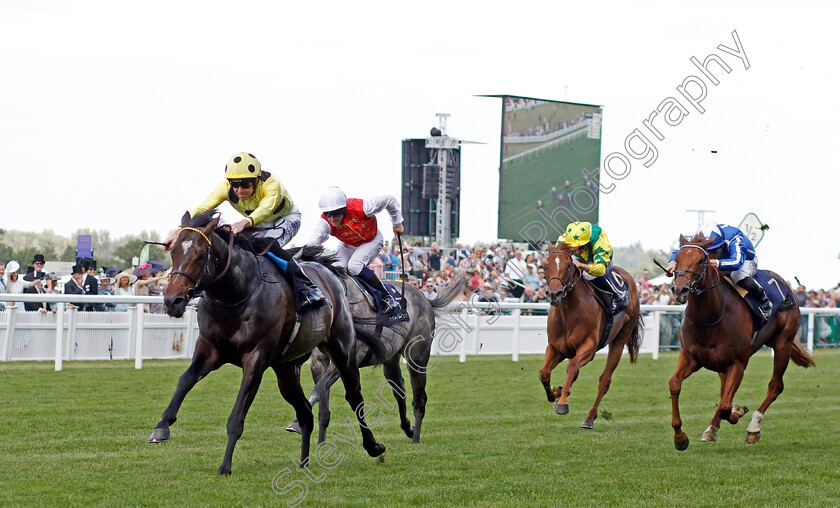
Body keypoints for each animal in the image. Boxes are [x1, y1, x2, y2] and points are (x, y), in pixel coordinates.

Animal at [148, 211, 388, 476]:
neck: (234, 294)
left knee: (354, 396)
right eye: (173, 252)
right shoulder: (209, 349)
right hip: (286, 369)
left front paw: (225, 466)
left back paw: (374, 447)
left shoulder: (256, 359)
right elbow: (185, 380)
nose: (172, 300)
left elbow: (236, 417)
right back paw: (304, 463)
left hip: (341, 348)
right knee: (305, 412)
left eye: (201, 254)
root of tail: (331, 274)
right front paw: (161, 427)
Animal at [288, 272, 470, 442]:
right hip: (391, 360)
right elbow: (323, 407)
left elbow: (318, 390)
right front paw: (320, 443)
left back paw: (416, 438)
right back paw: (408, 428)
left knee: (419, 398)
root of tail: (425, 298)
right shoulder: (319, 363)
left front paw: (296, 423)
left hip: (417, 357)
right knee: (399, 390)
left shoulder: (344, 361)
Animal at [540, 245, 644, 428]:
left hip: (620, 339)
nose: (554, 294)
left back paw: (589, 418)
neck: (568, 311)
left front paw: (562, 403)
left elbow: (572, 367)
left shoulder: (589, 347)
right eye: (546, 266)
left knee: (605, 380)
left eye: (569, 266)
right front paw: (555, 394)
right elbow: (544, 373)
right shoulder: (556, 348)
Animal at [668, 234, 812, 448]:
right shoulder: (691, 357)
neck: (712, 317)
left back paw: (753, 427)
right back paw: (713, 428)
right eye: (677, 258)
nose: (680, 290)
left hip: (782, 344)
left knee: (775, 386)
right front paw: (680, 437)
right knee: (724, 391)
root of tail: (786, 286)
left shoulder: (738, 362)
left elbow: (725, 406)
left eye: (701, 260)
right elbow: (675, 384)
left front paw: (738, 413)